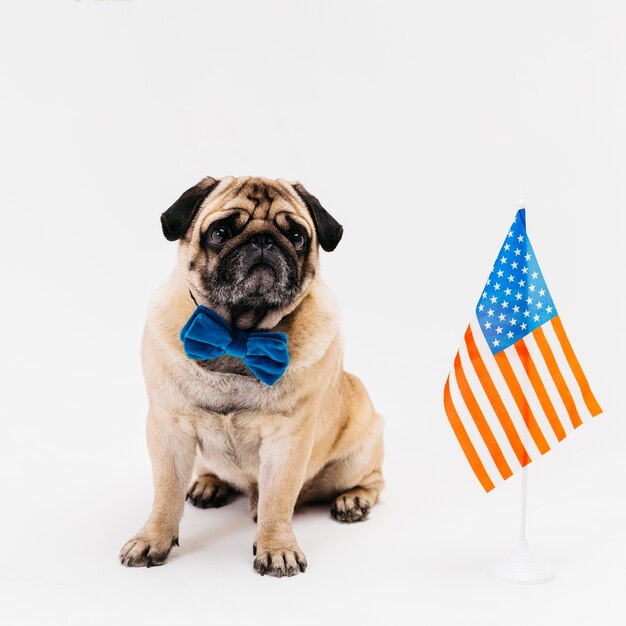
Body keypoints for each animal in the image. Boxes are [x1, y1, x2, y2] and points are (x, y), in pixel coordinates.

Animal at [116, 176, 380, 576]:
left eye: (297, 236)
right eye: (220, 233)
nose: (263, 240)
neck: (239, 334)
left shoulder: (287, 440)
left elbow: (278, 500)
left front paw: (277, 547)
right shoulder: (168, 429)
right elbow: (165, 493)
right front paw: (152, 539)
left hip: (359, 447)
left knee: (371, 479)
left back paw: (354, 500)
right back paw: (209, 485)